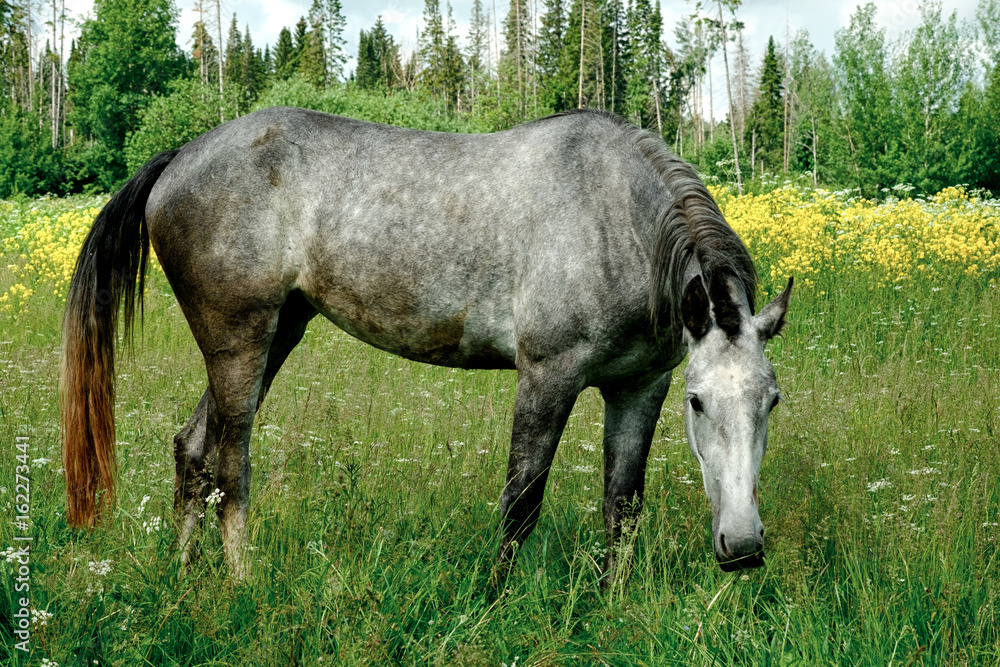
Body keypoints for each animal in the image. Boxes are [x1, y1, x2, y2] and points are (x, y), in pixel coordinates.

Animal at [61, 107, 792, 581]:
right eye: (700, 402)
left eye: (773, 400)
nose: (744, 546)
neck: (614, 217)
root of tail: (179, 158)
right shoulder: (547, 376)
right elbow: (520, 503)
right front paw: (495, 602)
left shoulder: (639, 385)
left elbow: (622, 506)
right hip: (240, 341)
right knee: (230, 463)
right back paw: (243, 585)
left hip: (275, 335)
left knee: (192, 452)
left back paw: (183, 581)